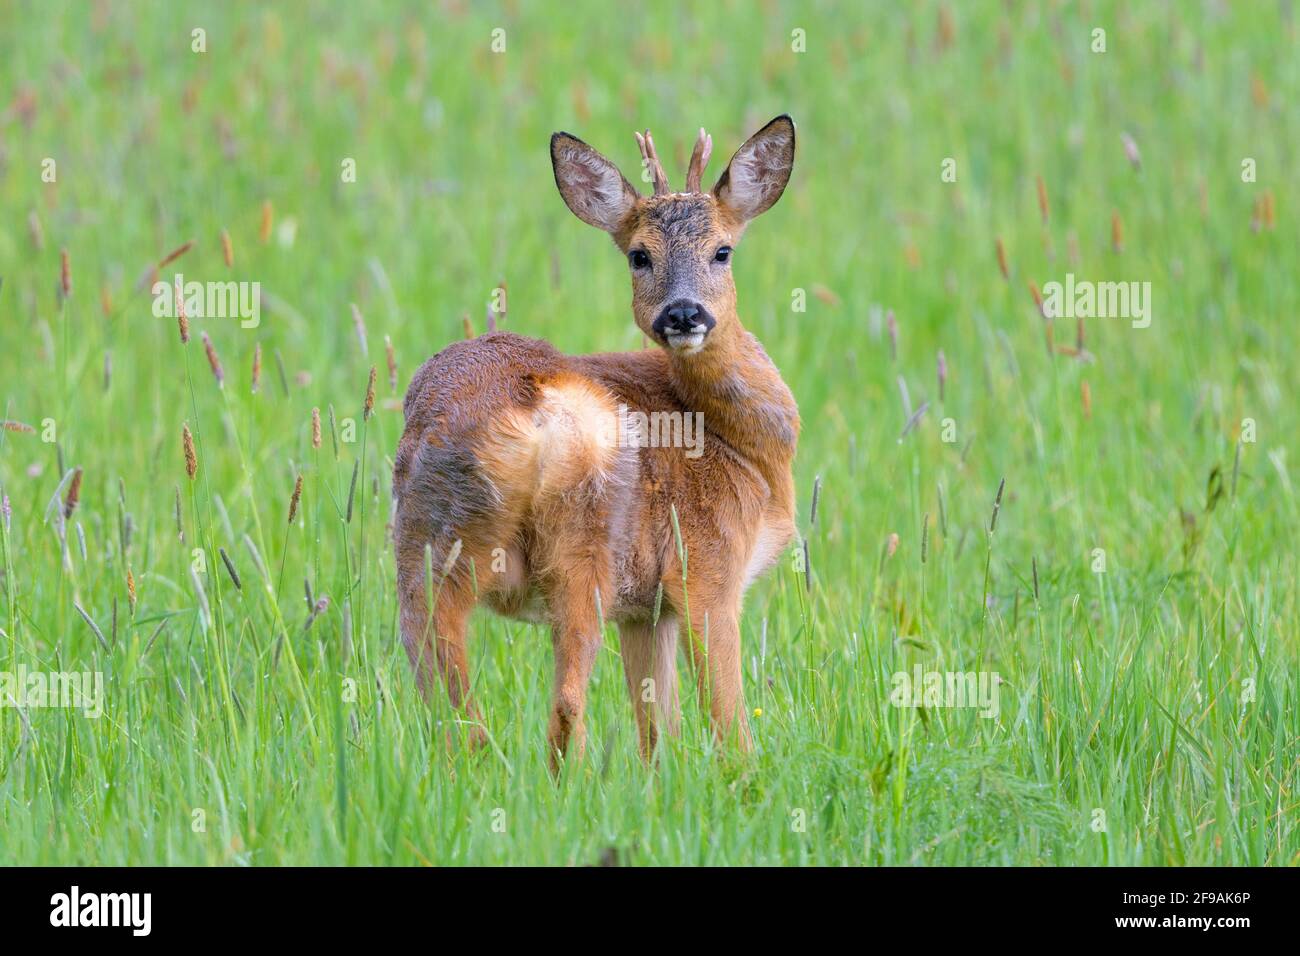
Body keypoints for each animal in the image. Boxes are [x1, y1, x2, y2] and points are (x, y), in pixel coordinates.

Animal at [392, 113, 800, 770]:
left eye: (723, 250)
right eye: (639, 255)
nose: (683, 314)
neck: (747, 449)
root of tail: (522, 405)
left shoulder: (645, 611)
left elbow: (658, 732)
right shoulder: (706, 567)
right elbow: (726, 723)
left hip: (422, 544)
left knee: (451, 708)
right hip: (584, 547)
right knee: (565, 706)